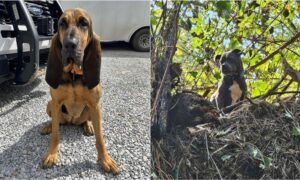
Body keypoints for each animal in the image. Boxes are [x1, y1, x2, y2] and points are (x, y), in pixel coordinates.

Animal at [41, 8, 120, 174]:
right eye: (62, 23)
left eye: (84, 23)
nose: (69, 45)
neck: (73, 74)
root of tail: (72, 121)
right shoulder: (56, 103)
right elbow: (56, 135)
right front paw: (51, 154)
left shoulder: (95, 105)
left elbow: (100, 139)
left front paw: (105, 160)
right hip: (50, 105)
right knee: (56, 122)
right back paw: (48, 126)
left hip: (91, 110)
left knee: (85, 121)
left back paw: (88, 126)